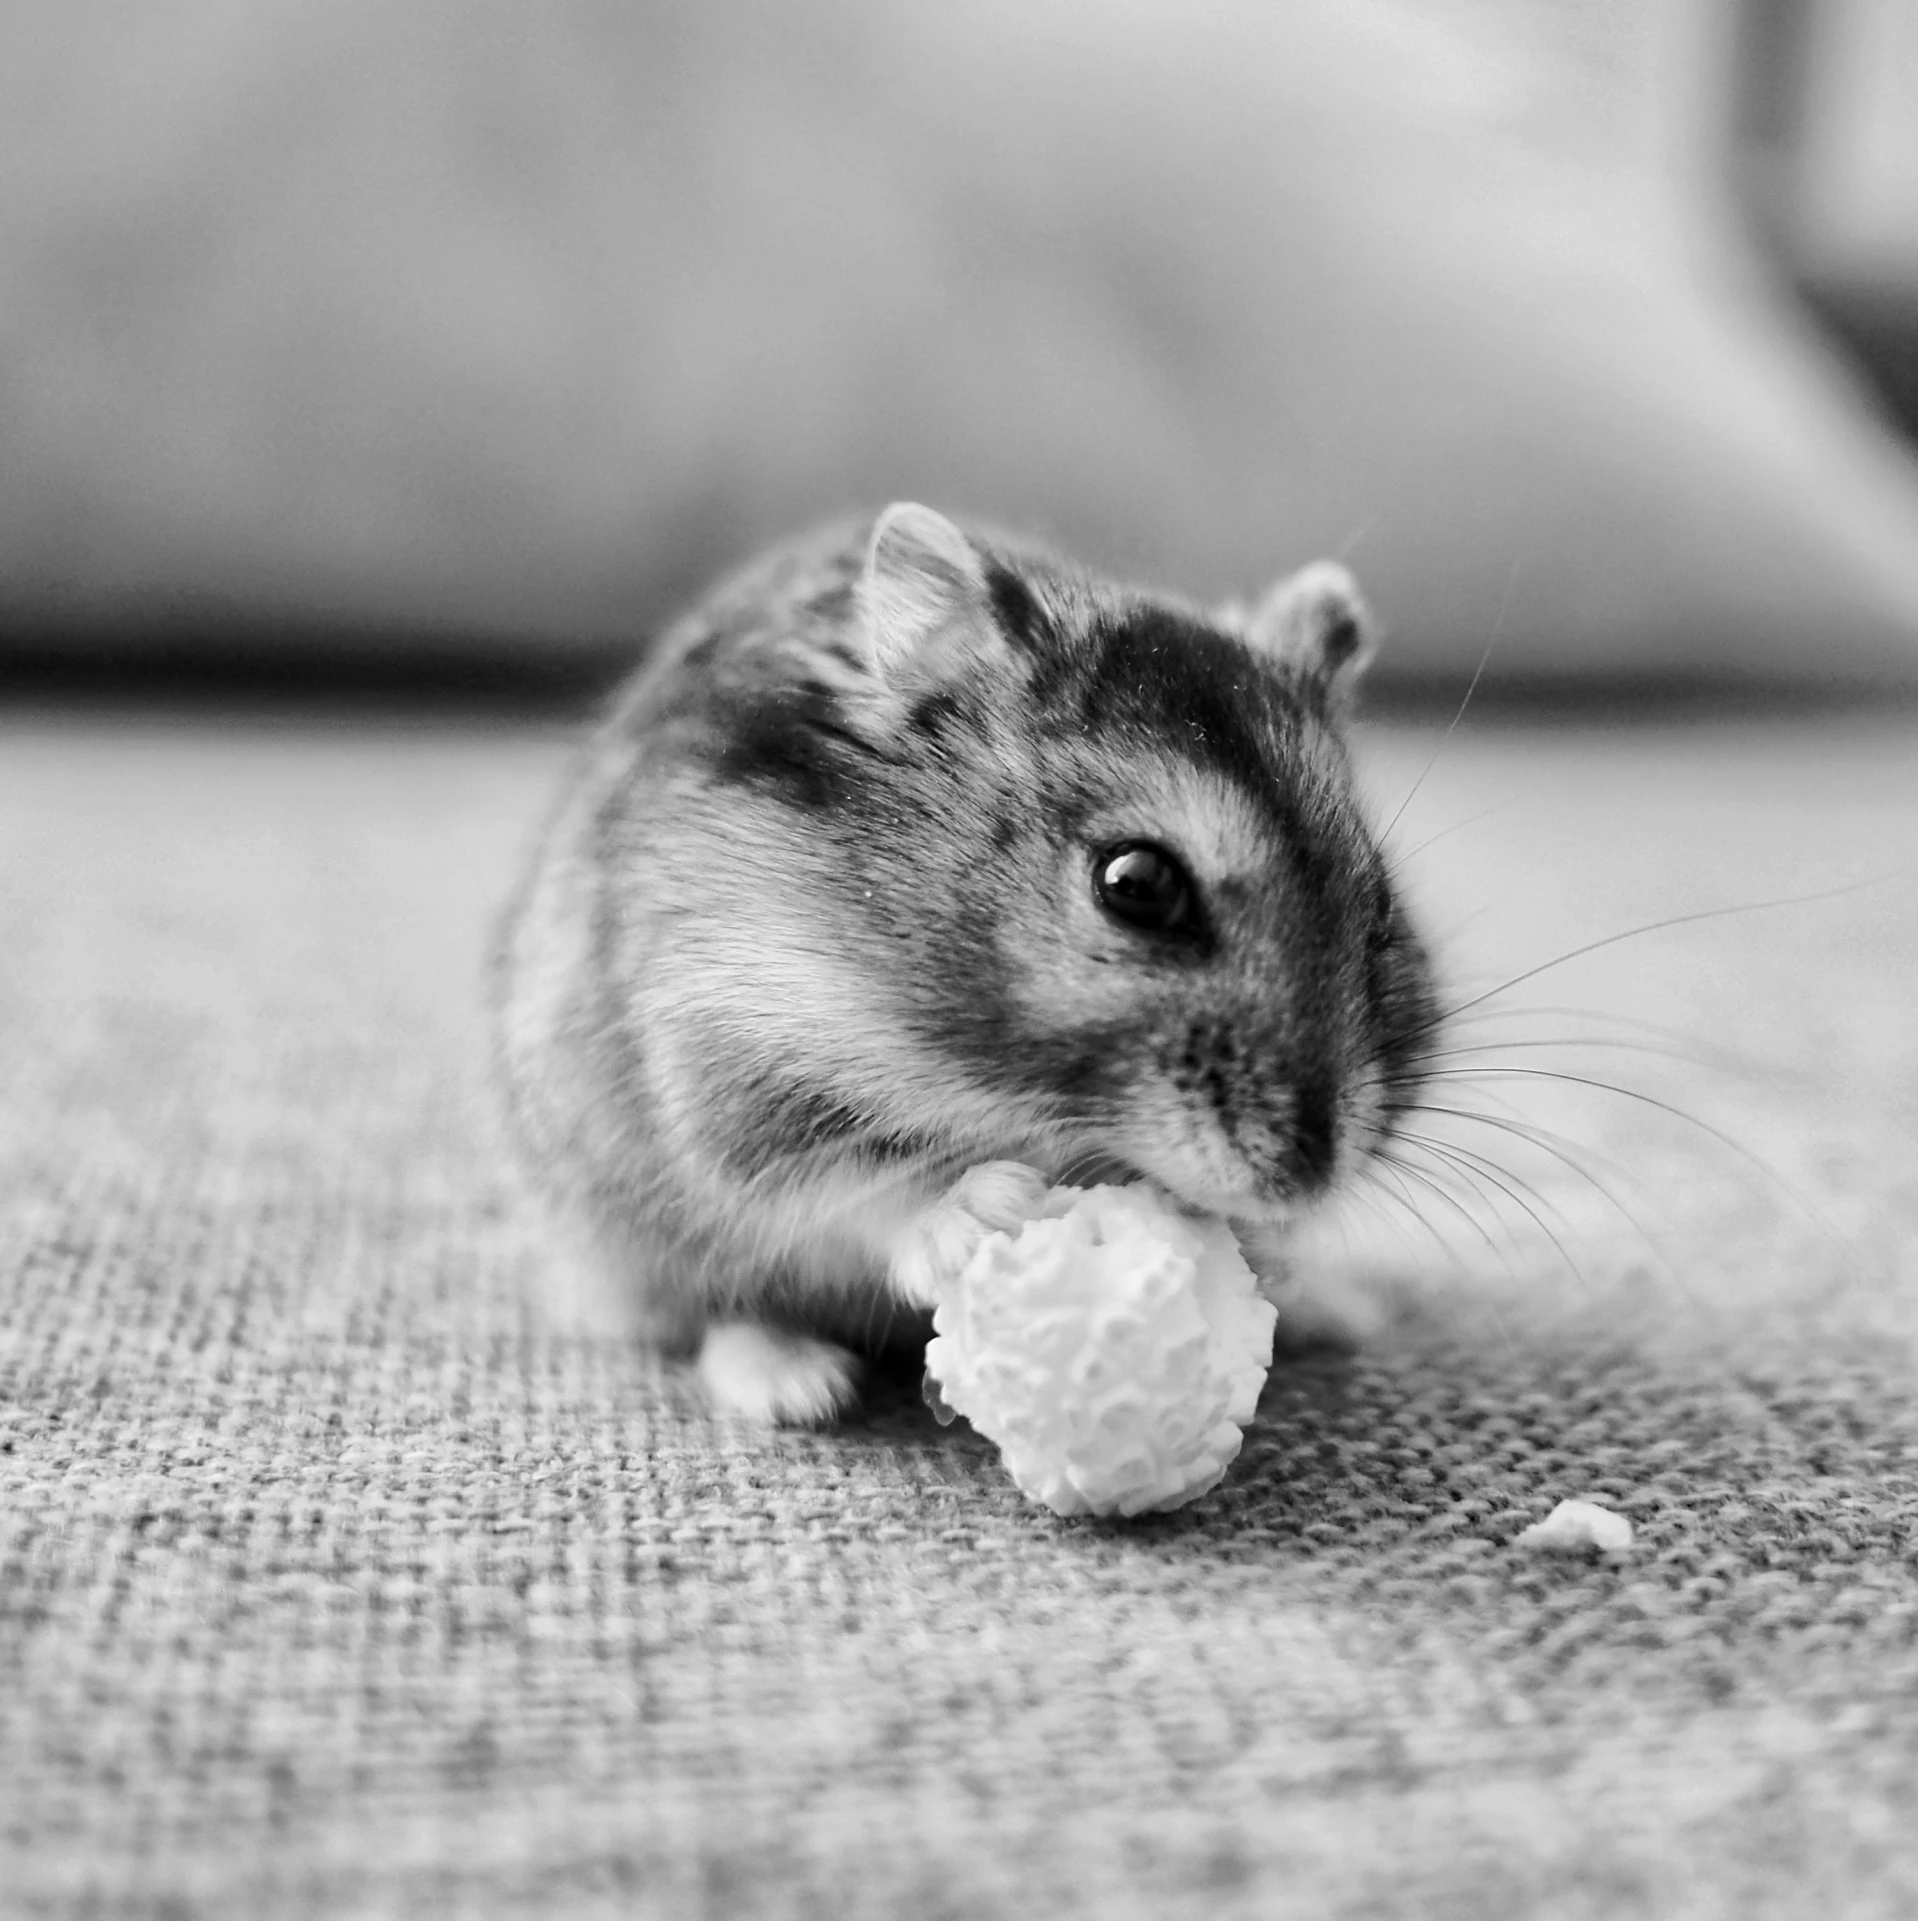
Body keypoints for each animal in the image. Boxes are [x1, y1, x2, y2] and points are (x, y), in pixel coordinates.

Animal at [495, 503, 1445, 1421]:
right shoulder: (726, 1066)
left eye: (1379, 904)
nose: (1305, 1183)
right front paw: (994, 1209)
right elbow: (852, 1186)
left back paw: (1338, 1309)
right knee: (716, 1313)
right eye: (1136, 884)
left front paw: (1261, 1255)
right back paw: (800, 1388)